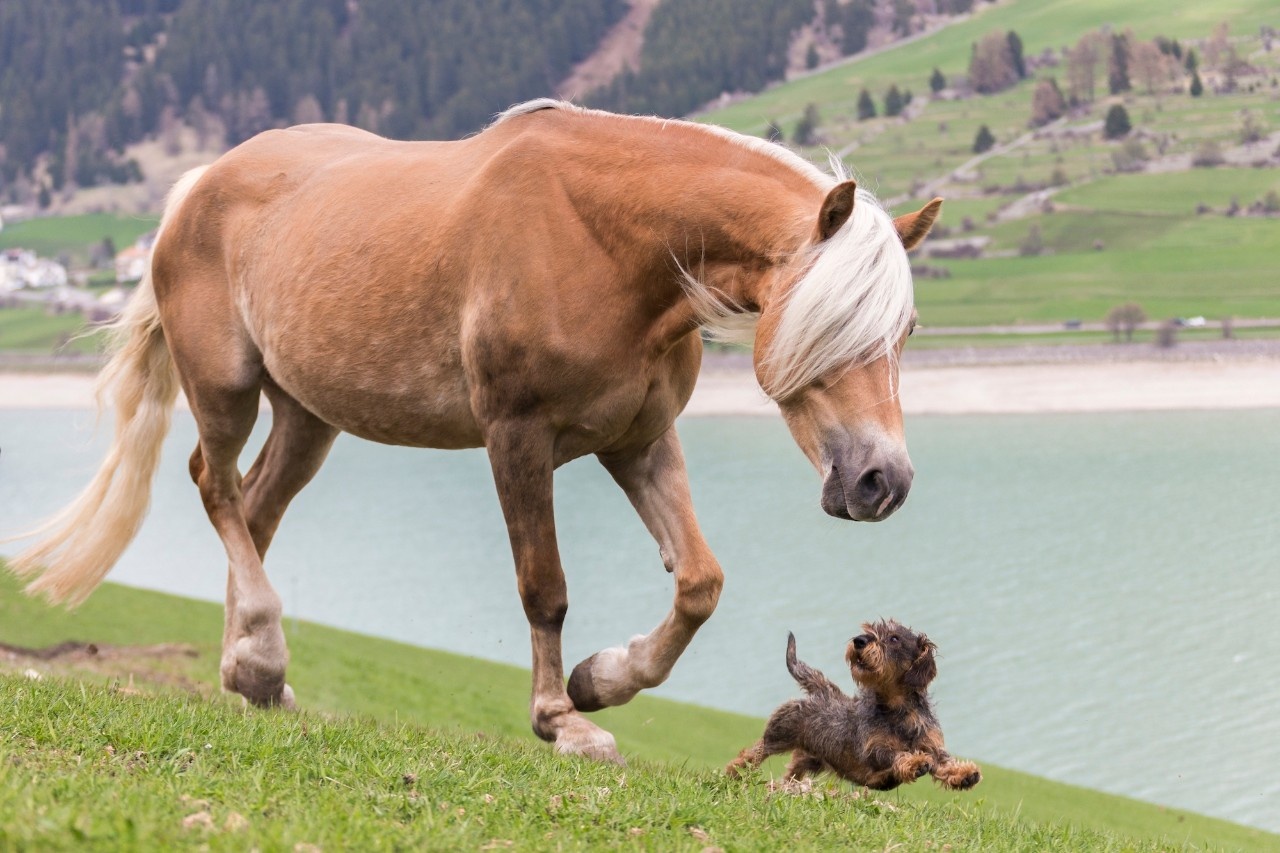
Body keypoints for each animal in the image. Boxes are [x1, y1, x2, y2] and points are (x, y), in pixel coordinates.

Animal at [10, 101, 942, 763]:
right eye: (828, 323)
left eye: (903, 330)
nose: (883, 481)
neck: (605, 238)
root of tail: (198, 184)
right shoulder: (516, 438)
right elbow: (545, 587)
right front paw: (564, 721)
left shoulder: (637, 438)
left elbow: (700, 581)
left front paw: (601, 679)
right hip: (225, 387)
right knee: (215, 485)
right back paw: (261, 658)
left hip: (309, 415)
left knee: (256, 508)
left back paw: (249, 671)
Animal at [727, 617, 983, 788]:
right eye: (869, 630)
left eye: (894, 638)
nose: (859, 640)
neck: (899, 710)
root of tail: (823, 691)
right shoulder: (873, 749)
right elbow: (894, 755)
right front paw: (915, 762)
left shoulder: (932, 744)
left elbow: (943, 761)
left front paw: (964, 774)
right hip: (778, 735)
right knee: (752, 754)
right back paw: (733, 773)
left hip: (809, 758)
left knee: (792, 771)